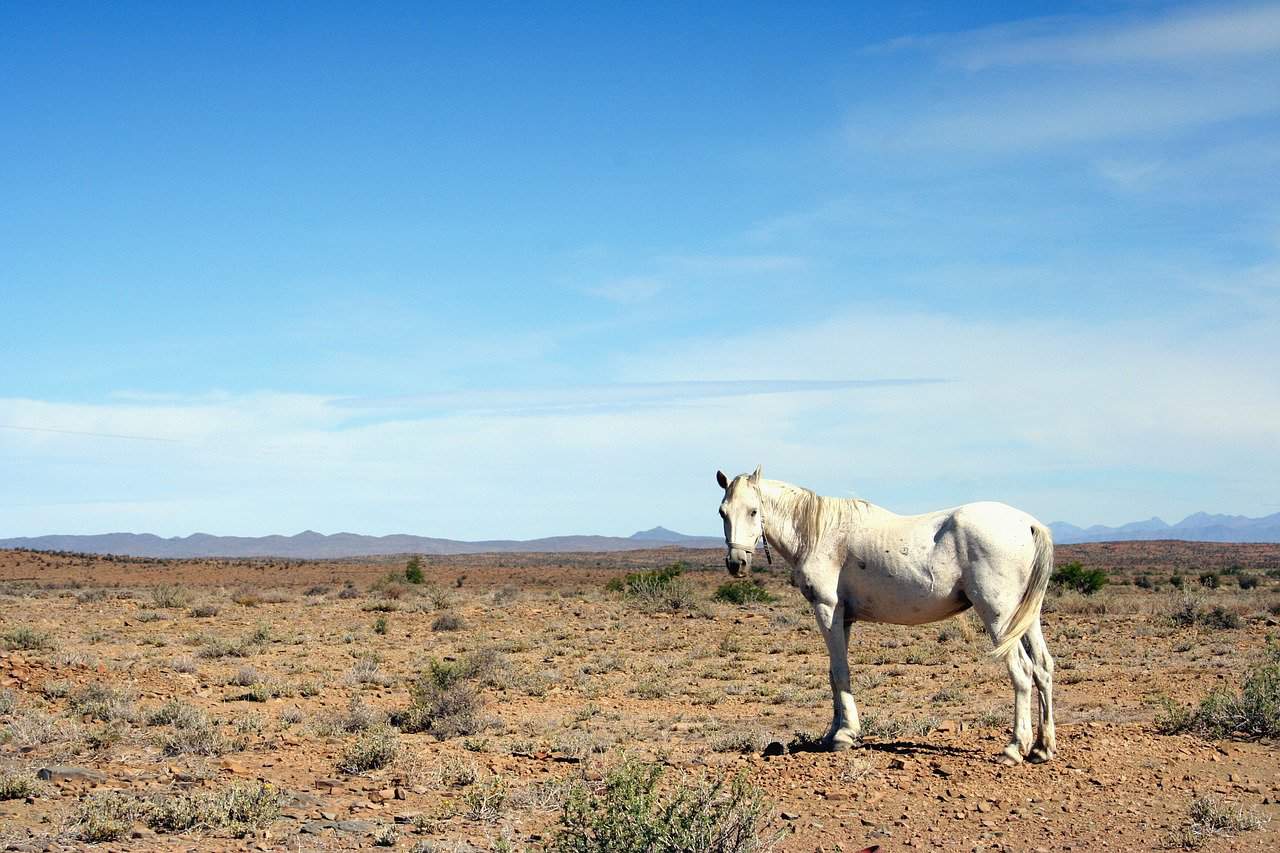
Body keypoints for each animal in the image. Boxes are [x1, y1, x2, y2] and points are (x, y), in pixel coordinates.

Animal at [716, 466, 1054, 763]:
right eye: (723, 512)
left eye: (754, 511)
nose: (736, 563)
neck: (820, 534)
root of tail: (1028, 524)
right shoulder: (843, 618)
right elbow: (834, 673)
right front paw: (831, 733)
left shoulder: (827, 610)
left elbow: (840, 671)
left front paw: (844, 736)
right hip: (1025, 619)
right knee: (1042, 667)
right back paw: (1042, 748)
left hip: (999, 617)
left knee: (1022, 671)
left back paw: (1014, 749)